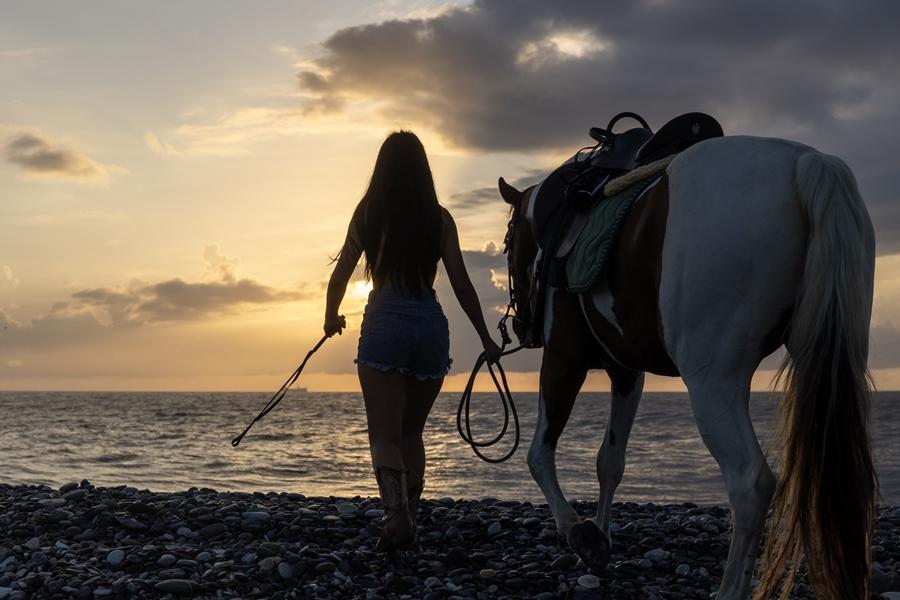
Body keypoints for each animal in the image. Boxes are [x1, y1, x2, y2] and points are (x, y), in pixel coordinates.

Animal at [496, 136, 876, 600]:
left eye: (508, 244)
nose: (520, 324)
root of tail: (805, 162)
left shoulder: (563, 359)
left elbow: (539, 454)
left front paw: (581, 534)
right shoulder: (627, 373)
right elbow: (610, 462)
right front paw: (600, 543)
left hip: (712, 380)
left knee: (750, 482)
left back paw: (730, 589)